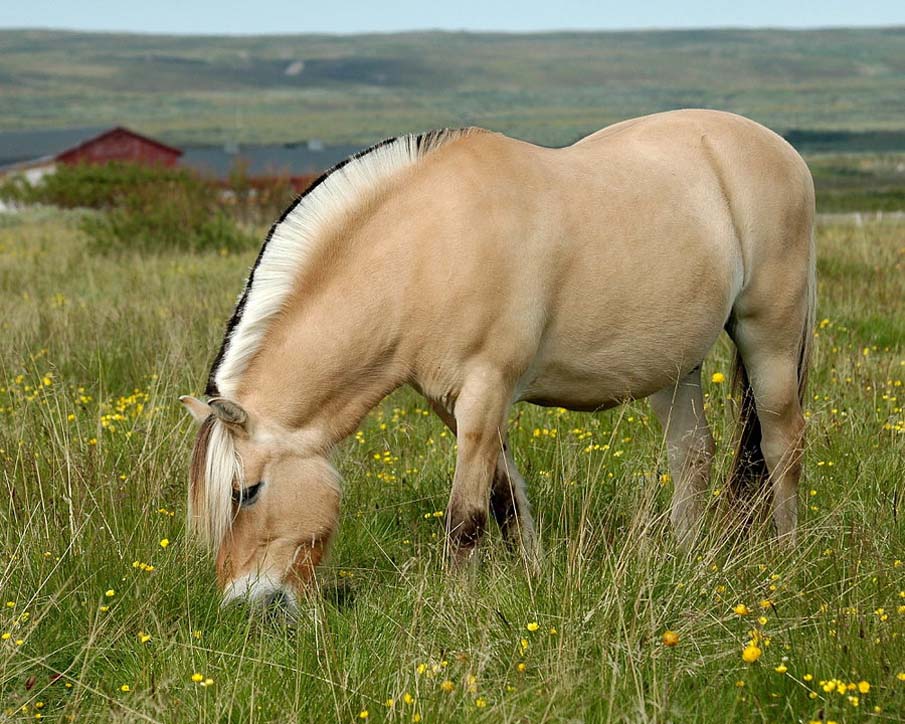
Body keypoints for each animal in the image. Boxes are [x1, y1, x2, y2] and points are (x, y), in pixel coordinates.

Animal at [180, 110, 816, 608]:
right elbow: (505, 497)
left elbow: (466, 517)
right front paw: (532, 577)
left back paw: (787, 557)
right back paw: (682, 560)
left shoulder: (486, 390)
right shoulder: (452, 403)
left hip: (770, 337)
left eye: (246, 493)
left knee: (782, 446)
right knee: (692, 454)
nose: (245, 603)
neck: (424, 247)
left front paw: (454, 605)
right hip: (674, 364)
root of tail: (779, 149)